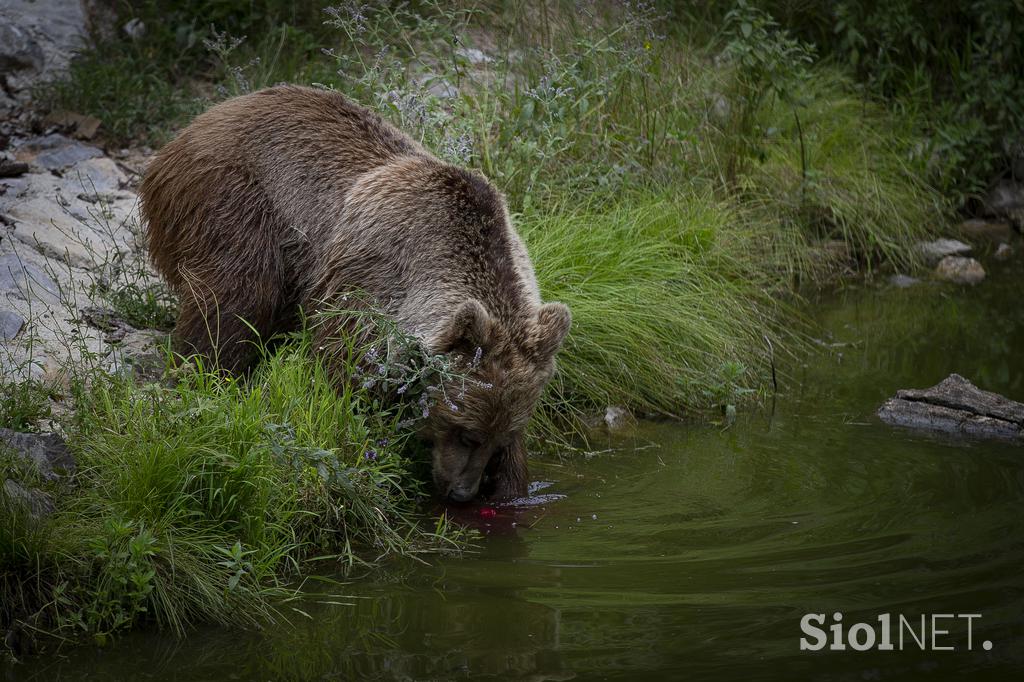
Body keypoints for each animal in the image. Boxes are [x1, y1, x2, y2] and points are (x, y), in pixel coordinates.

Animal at [137, 83, 573, 499]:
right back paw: (204, 375)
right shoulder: (368, 280)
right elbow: (339, 370)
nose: (462, 493)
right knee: (236, 296)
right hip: (233, 199)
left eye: (495, 440)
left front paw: (511, 488)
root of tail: (202, 120)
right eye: (466, 432)